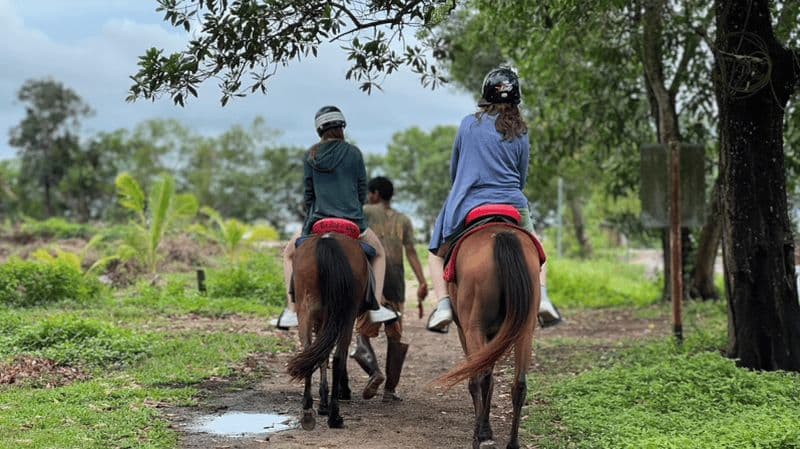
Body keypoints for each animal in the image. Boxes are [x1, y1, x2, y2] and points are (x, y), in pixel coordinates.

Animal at [286, 226, 369, 430]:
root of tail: (326, 239)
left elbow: (321, 355)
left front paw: (322, 402)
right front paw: (330, 400)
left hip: (306, 310)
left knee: (310, 350)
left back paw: (308, 411)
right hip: (347, 315)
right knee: (339, 356)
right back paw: (334, 415)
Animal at [439, 208, 543, 449]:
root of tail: (501, 236)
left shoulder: (466, 331)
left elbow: (476, 378)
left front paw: (481, 432)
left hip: (474, 328)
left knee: (481, 378)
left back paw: (482, 435)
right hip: (524, 329)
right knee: (519, 384)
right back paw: (512, 443)